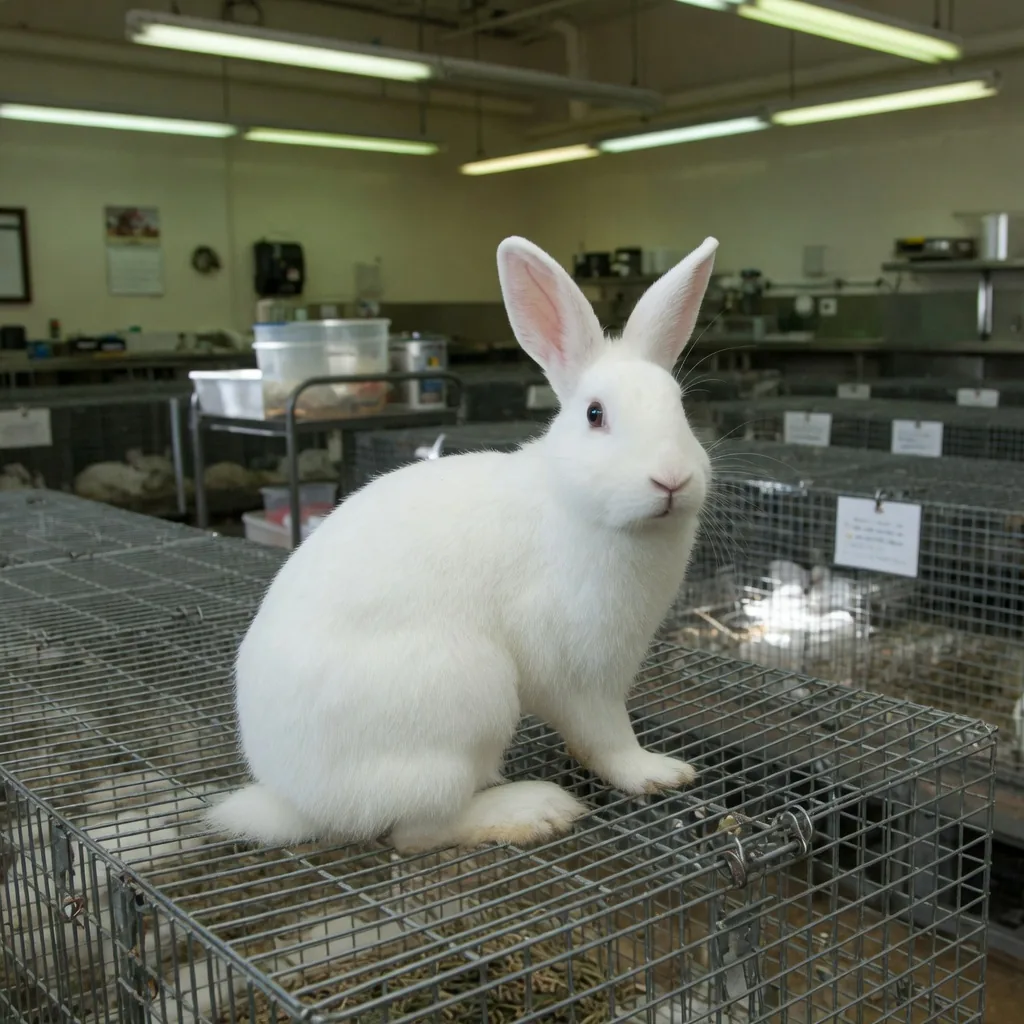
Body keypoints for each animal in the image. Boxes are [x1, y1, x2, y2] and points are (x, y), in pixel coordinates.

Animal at [207, 233, 719, 855]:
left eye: (680, 408)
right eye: (595, 414)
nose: (671, 480)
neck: (574, 504)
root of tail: (296, 801)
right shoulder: (579, 671)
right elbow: (607, 737)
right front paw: (657, 772)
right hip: (468, 698)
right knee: (418, 830)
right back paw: (534, 809)